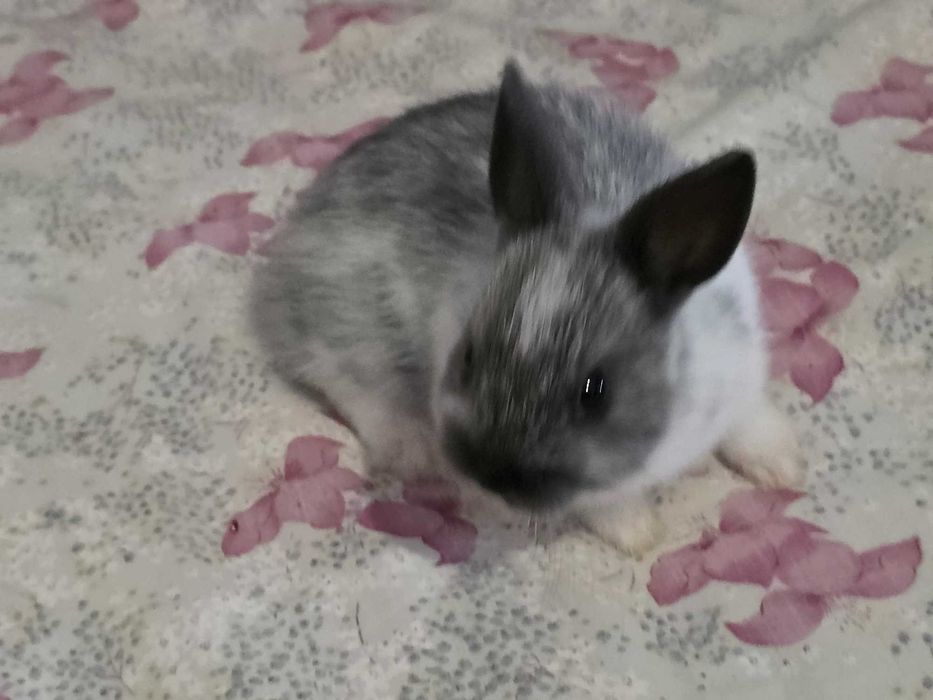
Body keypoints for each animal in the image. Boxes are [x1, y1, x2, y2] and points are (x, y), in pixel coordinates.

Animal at [251, 60, 802, 555]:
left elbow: (749, 422)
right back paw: (416, 451)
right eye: (468, 357)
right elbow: (608, 504)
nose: (493, 478)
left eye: (595, 391)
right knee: (349, 383)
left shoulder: (741, 371)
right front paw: (638, 534)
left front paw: (784, 465)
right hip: (350, 332)